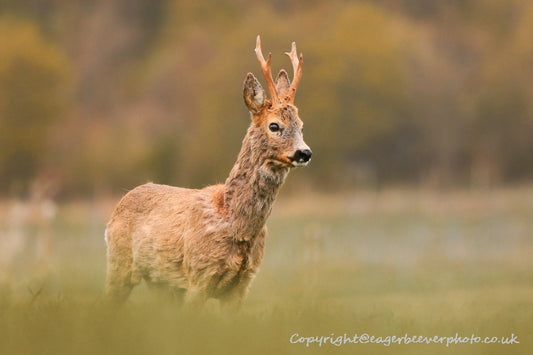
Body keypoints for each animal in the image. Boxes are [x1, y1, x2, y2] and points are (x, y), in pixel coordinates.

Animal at [104, 36, 312, 308]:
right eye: (274, 125)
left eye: (301, 126)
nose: (304, 152)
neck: (235, 225)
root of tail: (120, 204)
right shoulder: (198, 277)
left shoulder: (241, 285)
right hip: (118, 264)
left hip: (161, 284)